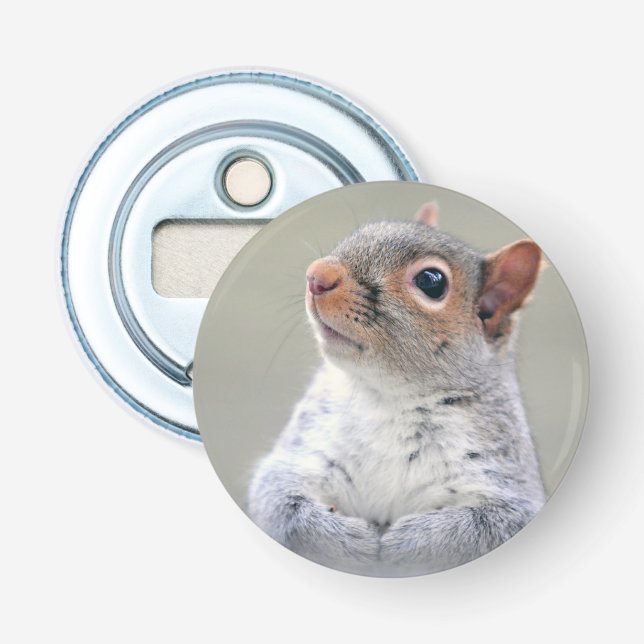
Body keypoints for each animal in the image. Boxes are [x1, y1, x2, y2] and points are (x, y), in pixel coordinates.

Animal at [248, 202, 546, 576]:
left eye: (431, 281)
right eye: (361, 232)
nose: (317, 274)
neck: (388, 398)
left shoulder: (505, 482)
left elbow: (484, 527)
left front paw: (413, 544)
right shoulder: (304, 452)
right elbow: (278, 500)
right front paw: (344, 540)